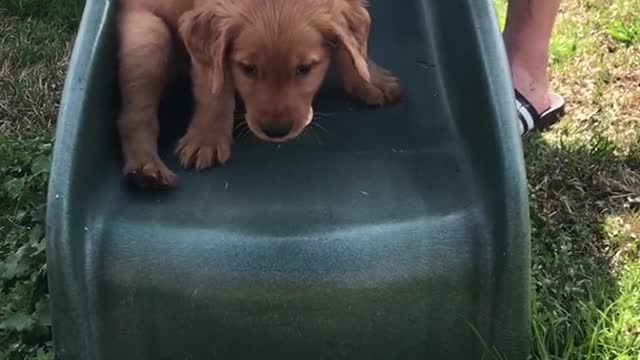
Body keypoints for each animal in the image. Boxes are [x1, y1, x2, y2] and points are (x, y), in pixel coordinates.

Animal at [117, 0, 400, 190]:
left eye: (304, 69)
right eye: (249, 69)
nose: (276, 131)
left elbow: (348, 44)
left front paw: (369, 77)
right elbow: (214, 90)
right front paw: (206, 139)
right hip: (148, 37)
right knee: (135, 116)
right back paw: (146, 170)